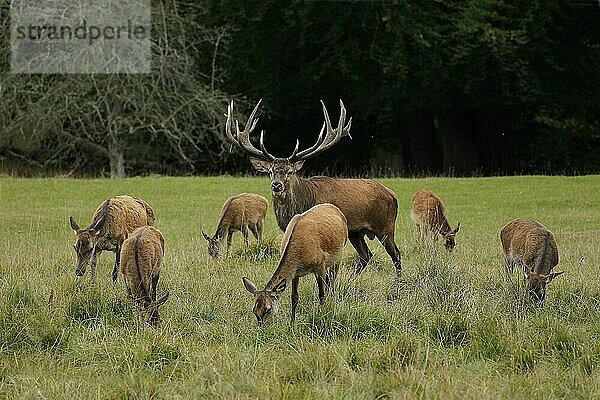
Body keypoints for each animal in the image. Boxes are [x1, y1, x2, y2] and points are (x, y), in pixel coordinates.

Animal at [225, 98, 404, 276]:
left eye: (290, 171)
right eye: (270, 171)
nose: (276, 185)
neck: (301, 205)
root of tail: (392, 194)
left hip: (385, 226)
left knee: (395, 253)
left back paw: (399, 280)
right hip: (356, 233)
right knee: (366, 255)